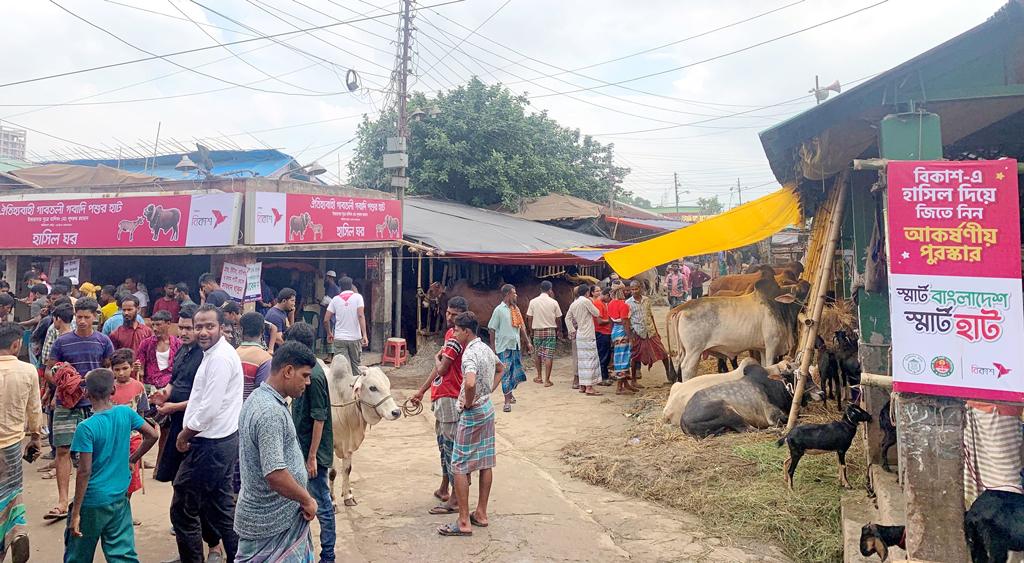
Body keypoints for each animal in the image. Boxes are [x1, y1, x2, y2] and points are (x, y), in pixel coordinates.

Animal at [329, 358, 405, 507]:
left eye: (388, 385)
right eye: (373, 387)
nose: (396, 412)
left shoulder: (348, 445)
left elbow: (347, 469)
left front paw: (348, 496)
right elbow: (332, 473)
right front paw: (332, 501)